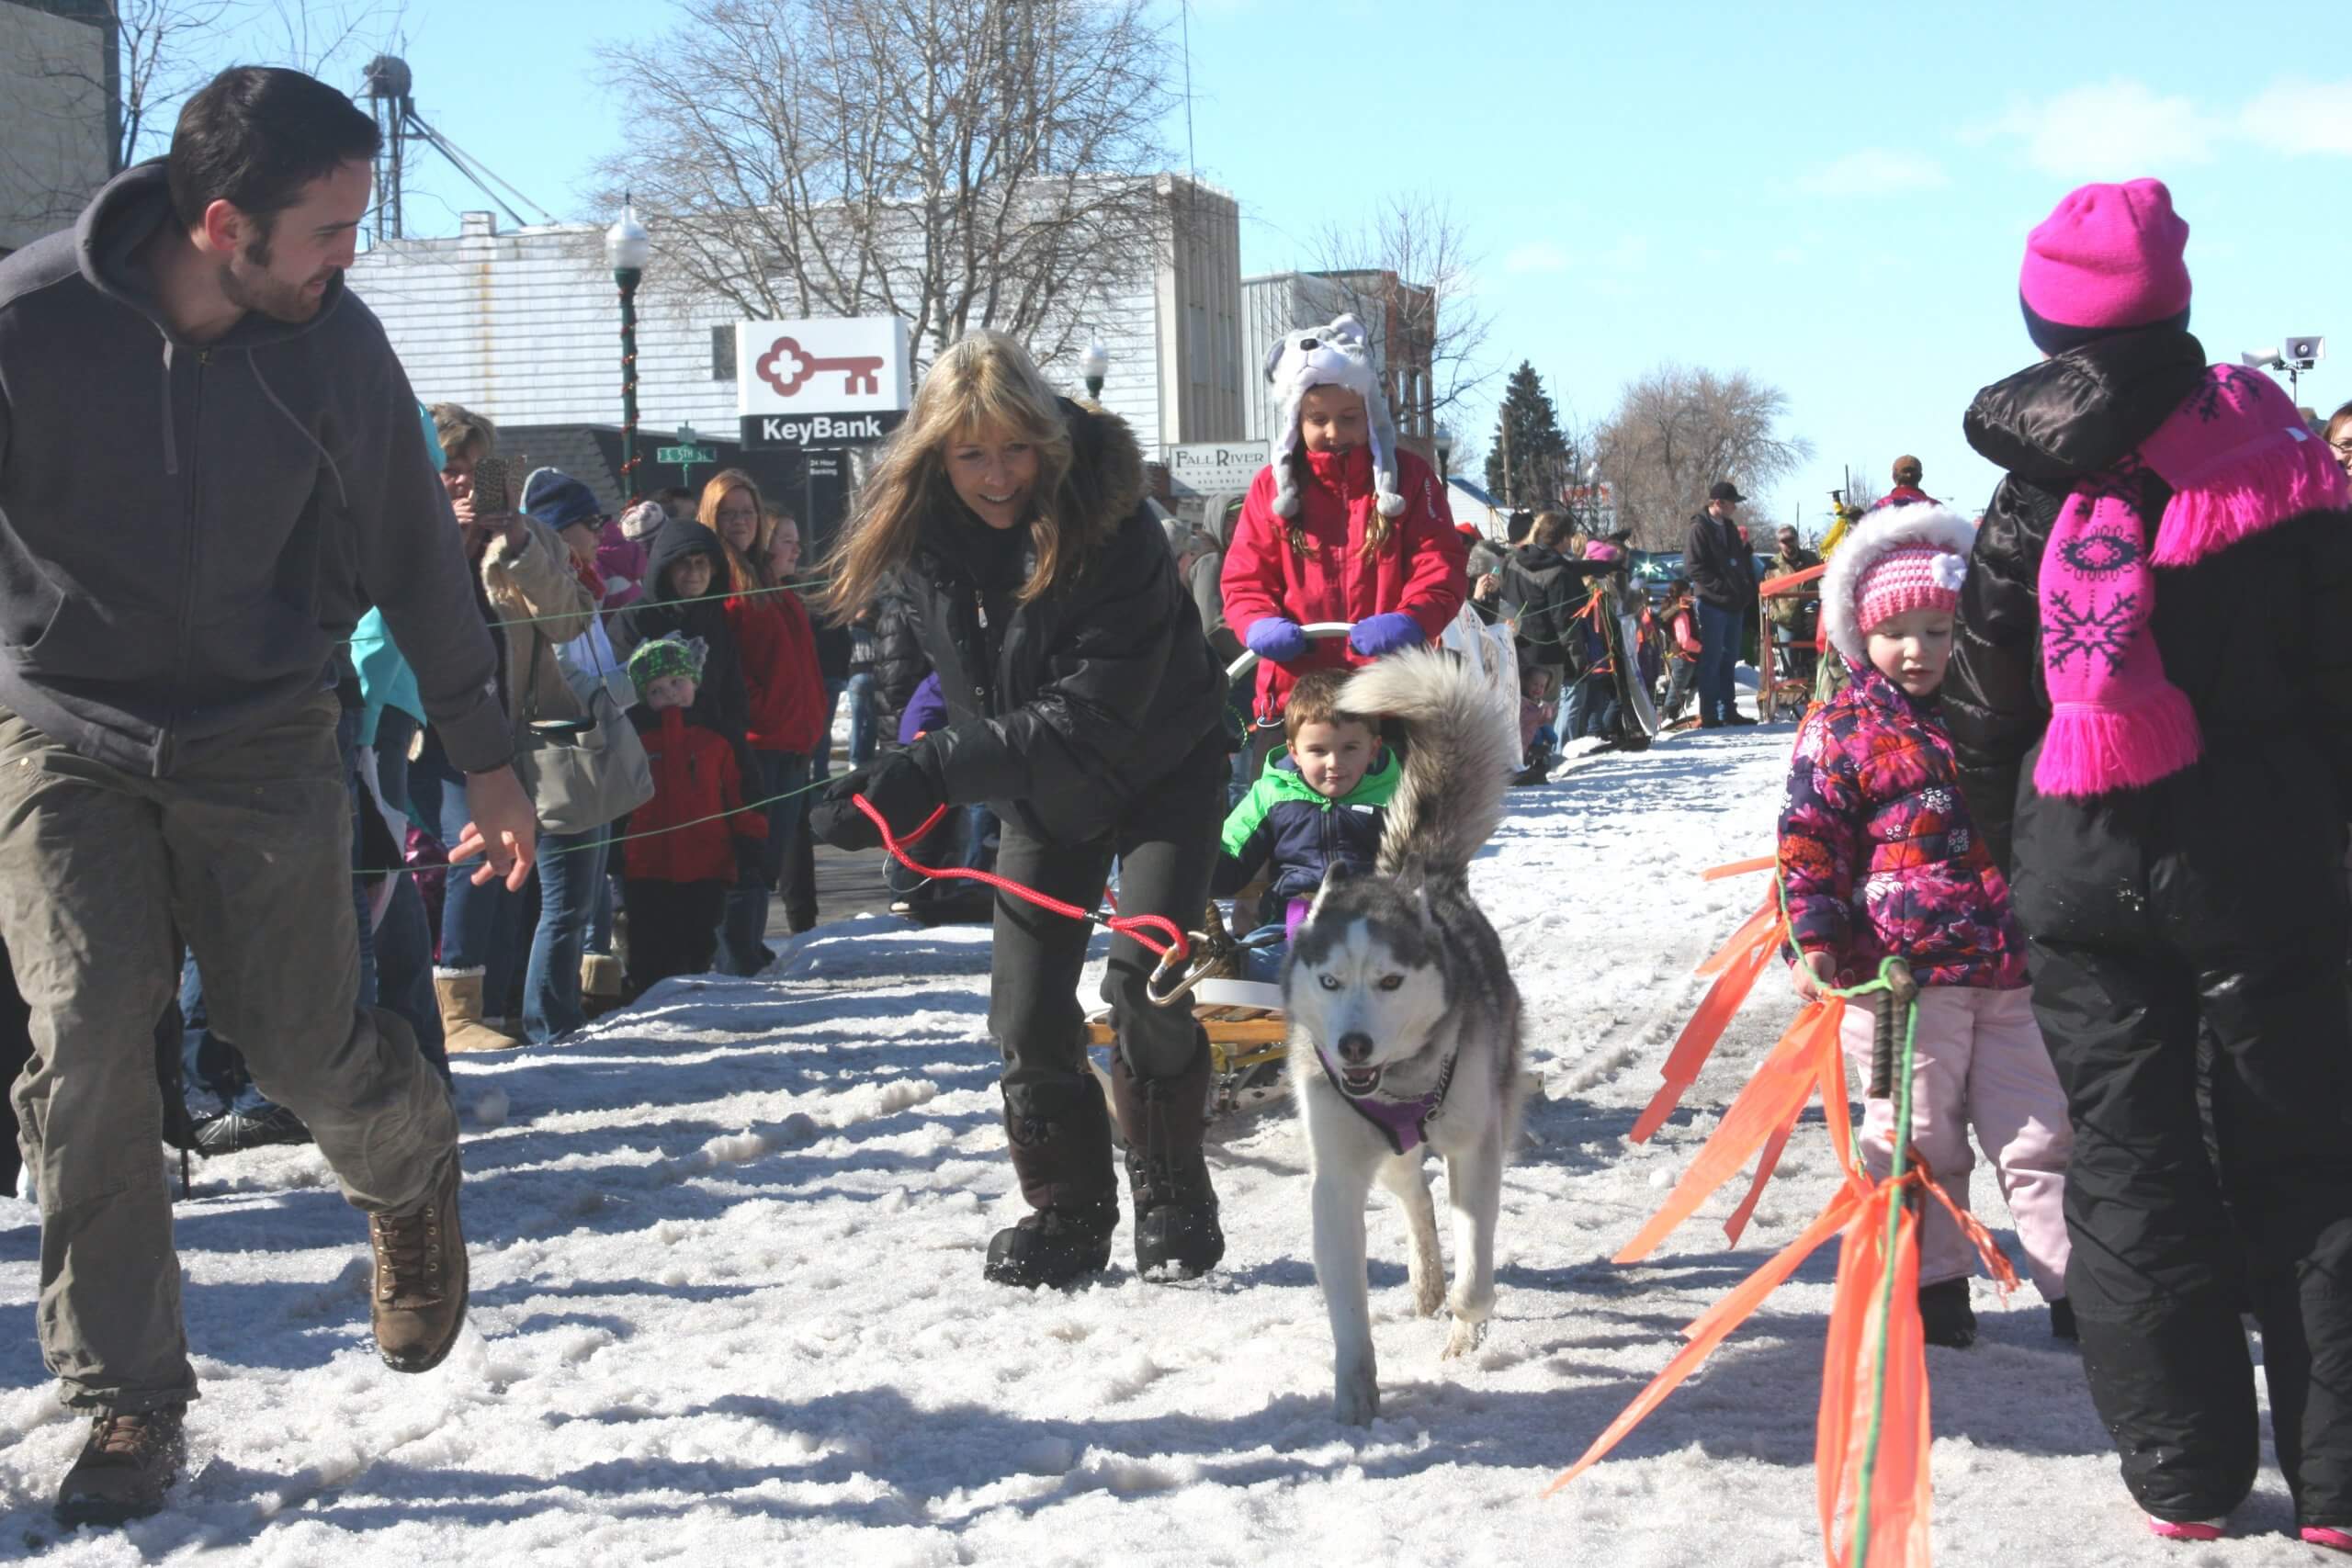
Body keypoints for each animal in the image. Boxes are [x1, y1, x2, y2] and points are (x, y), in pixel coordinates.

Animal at [1288, 639, 1523, 1419]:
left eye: (1391, 981)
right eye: (1331, 981)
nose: (1354, 1045)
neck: (1398, 1083)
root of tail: (1415, 870)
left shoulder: (1476, 1147)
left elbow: (1477, 1272)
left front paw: (1466, 1326)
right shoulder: (1336, 1177)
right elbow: (1346, 1304)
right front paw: (1355, 1391)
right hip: (1383, 1153)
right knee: (1414, 1196)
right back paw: (1424, 1279)